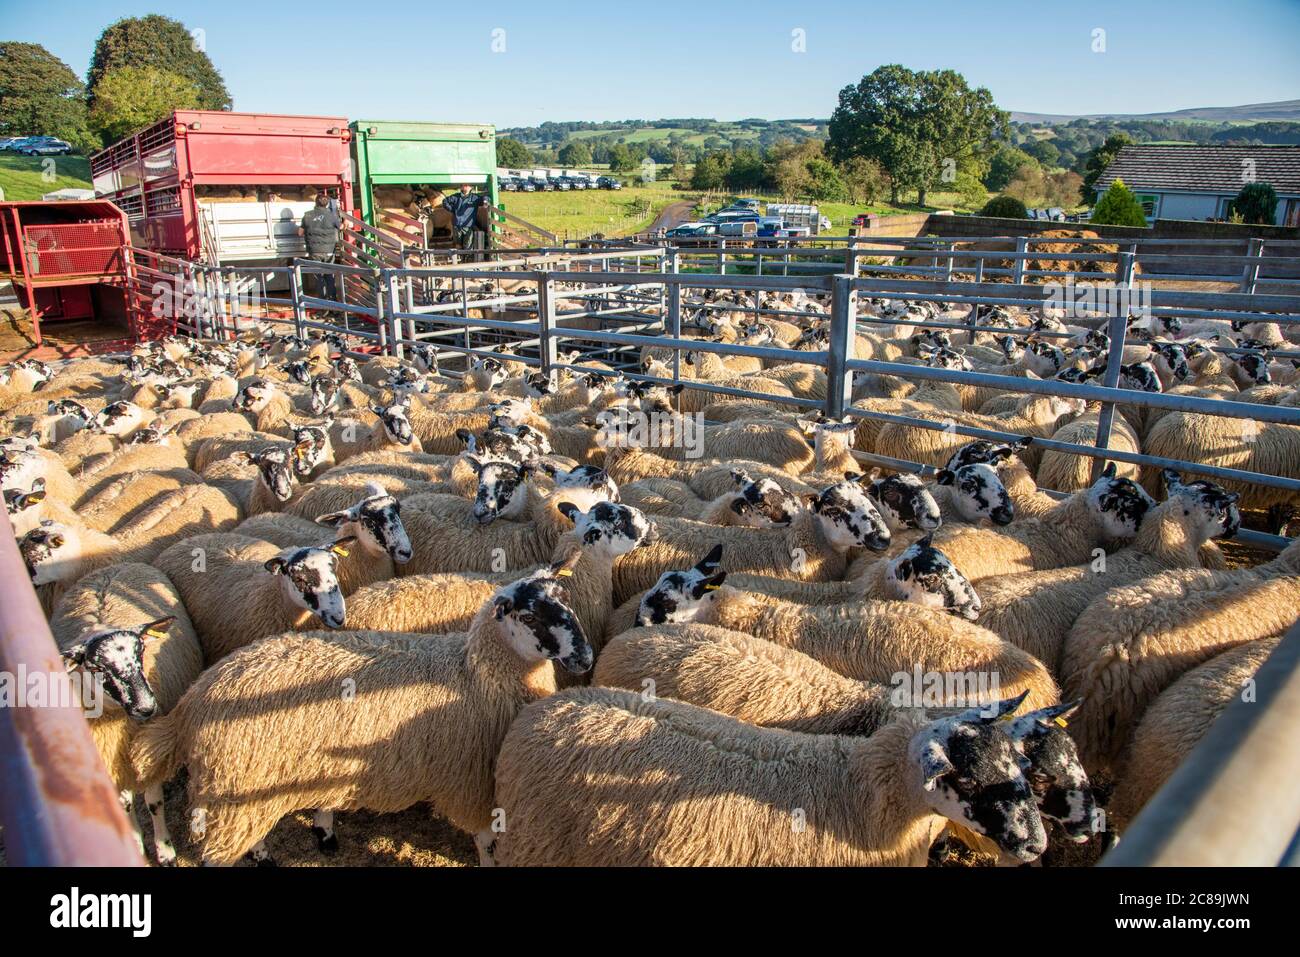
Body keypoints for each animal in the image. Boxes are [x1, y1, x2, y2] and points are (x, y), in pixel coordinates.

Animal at [49, 563, 202, 865]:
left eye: (140, 651)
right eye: (97, 668)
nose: (147, 707)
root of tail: (108, 568)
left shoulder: (145, 753)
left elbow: (154, 802)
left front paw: (165, 850)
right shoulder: (109, 759)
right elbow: (124, 804)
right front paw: (135, 843)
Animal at [129, 569, 593, 865]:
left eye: (567, 604)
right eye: (528, 615)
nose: (585, 656)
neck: (476, 673)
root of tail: (193, 700)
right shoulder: (473, 783)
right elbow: (486, 843)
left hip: (243, 789)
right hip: (232, 786)